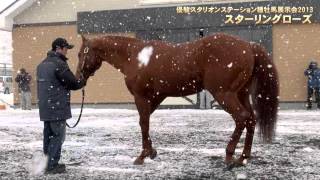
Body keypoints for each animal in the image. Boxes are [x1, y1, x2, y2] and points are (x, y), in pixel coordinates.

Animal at [76, 33, 278, 166]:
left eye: (80, 54)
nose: (78, 78)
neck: (135, 56)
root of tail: (248, 46)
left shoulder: (141, 97)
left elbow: (143, 123)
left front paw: (142, 156)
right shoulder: (156, 97)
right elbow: (145, 121)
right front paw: (151, 152)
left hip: (224, 94)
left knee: (241, 118)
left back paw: (229, 156)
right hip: (241, 93)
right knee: (251, 119)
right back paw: (243, 157)